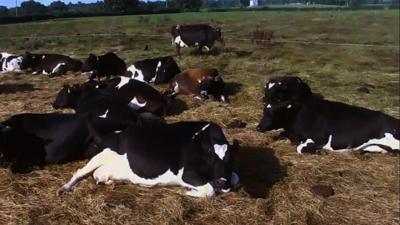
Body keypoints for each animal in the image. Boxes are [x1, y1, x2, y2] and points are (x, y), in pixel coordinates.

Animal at [58, 120, 241, 198]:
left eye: (230, 158)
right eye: (210, 156)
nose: (222, 182)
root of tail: (108, 135)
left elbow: (236, 178)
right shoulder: (188, 174)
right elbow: (209, 191)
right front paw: (185, 191)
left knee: (98, 175)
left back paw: (108, 181)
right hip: (101, 155)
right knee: (79, 172)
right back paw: (64, 188)